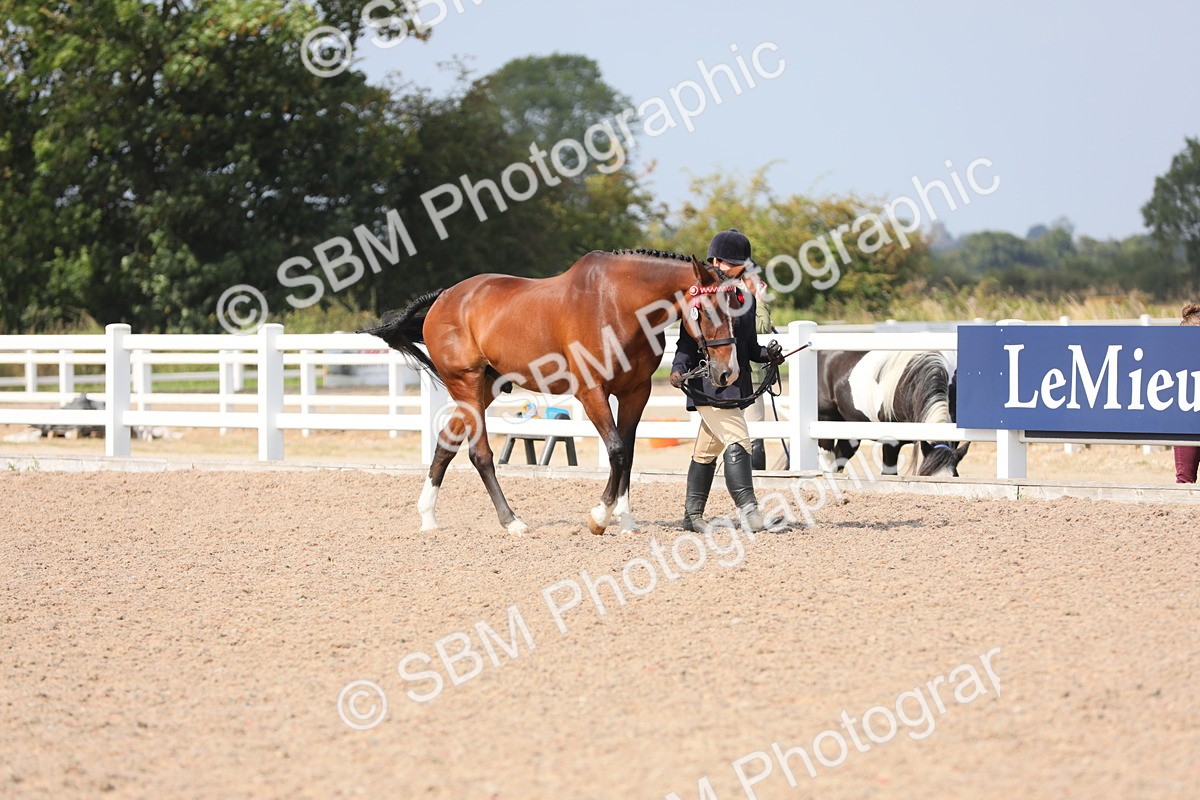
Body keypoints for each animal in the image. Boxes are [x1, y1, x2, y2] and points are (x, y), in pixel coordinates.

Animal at [360, 249, 749, 535]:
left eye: (737, 309)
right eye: (706, 310)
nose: (726, 372)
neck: (617, 304)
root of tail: (445, 297)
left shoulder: (635, 392)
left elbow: (629, 453)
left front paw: (625, 519)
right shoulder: (591, 391)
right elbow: (617, 450)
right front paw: (599, 517)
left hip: (485, 387)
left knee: (445, 443)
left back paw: (428, 518)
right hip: (466, 382)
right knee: (479, 454)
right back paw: (512, 521)